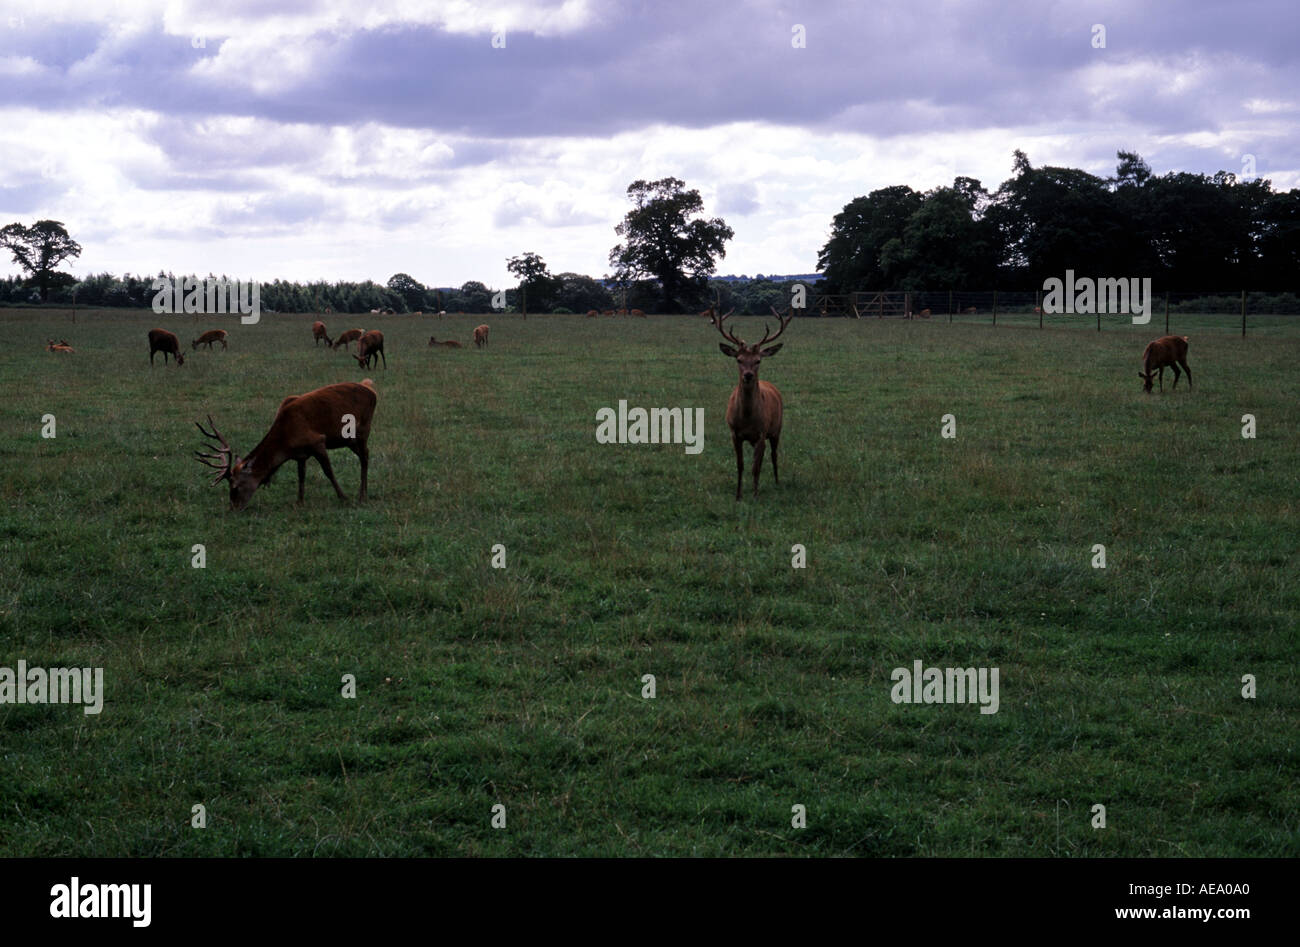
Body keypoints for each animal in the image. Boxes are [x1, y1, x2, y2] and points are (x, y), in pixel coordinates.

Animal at [195, 379, 378, 511]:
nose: (233, 508)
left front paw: (343, 498)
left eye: (235, 486)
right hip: (350, 440)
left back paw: (362, 496)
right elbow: (301, 475)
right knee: (365, 455)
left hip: (362, 431)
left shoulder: (317, 441)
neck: (286, 443)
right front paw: (299, 501)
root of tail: (372, 391)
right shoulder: (301, 454)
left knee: (365, 456)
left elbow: (328, 471)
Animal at [715, 303, 793, 500]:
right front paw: (738, 495)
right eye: (739, 359)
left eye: (758, 360)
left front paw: (756, 494)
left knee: (773, 456)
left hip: (776, 429)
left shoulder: (761, 433)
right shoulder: (734, 433)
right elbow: (740, 465)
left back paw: (777, 482)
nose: (748, 375)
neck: (747, 419)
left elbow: (756, 467)